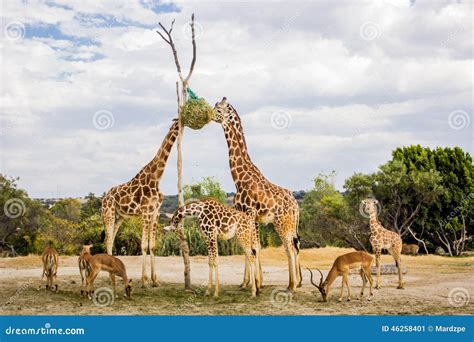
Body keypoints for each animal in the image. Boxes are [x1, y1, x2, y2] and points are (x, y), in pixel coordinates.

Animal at [102, 119, 180, 288]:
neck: (157, 176)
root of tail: (103, 198)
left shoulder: (155, 212)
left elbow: (152, 246)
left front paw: (155, 280)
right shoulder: (145, 211)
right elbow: (143, 245)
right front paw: (144, 281)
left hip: (119, 217)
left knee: (111, 240)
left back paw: (114, 274)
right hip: (108, 214)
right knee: (108, 240)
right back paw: (111, 277)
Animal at [213, 97, 302, 292]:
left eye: (218, 109)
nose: (208, 114)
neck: (239, 178)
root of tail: (296, 206)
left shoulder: (249, 212)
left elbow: (252, 247)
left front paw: (254, 283)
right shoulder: (249, 216)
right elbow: (254, 247)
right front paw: (249, 282)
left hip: (282, 223)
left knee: (290, 248)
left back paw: (292, 285)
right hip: (289, 224)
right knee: (294, 246)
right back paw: (295, 282)